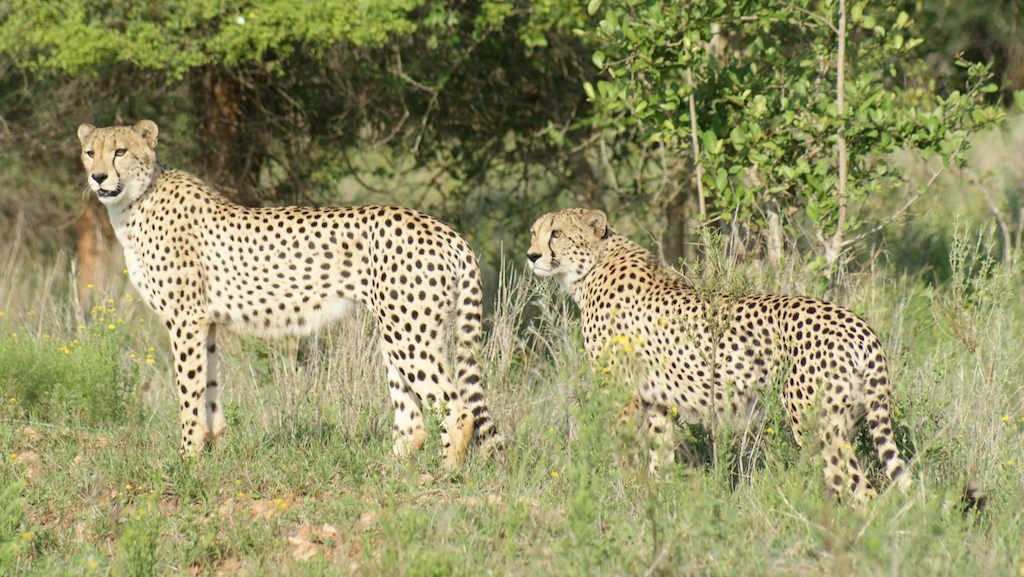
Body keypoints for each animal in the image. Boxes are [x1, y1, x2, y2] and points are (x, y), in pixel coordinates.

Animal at [76, 119, 502, 465]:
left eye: (120, 151)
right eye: (90, 152)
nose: (98, 177)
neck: (136, 199)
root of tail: (443, 228)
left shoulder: (185, 320)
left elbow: (188, 389)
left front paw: (187, 457)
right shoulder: (206, 322)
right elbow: (208, 385)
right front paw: (211, 446)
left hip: (408, 332)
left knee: (458, 408)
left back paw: (444, 475)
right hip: (397, 332)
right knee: (414, 421)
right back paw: (387, 470)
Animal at [527, 208, 910, 503]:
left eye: (556, 233)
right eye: (534, 232)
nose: (531, 256)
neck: (592, 266)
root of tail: (858, 324)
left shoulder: (622, 393)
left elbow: (622, 449)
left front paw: (621, 495)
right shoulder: (656, 400)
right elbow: (660, 452)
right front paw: (661, 502)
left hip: (814, 423)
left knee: (859, 489)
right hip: (847, 421)